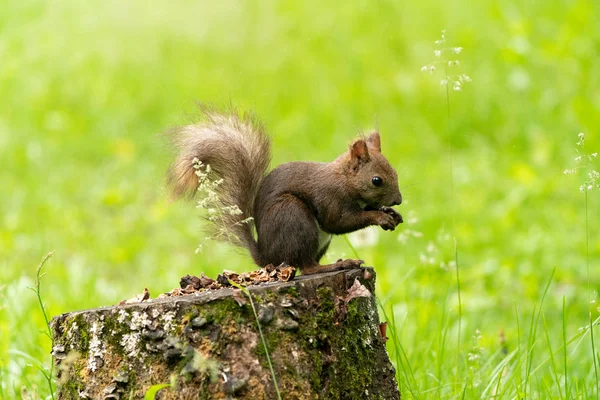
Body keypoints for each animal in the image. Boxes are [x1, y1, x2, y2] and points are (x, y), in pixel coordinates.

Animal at [166, 106, 406, 276]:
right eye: (376, 180)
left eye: (395, 172)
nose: (399, 200)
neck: (345, 179)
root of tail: (266, 256)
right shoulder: (330, 198)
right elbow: (338, 222)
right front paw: (379, 217)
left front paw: (392, 214)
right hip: (293, 217)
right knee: (307, 267)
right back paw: (337, 265)